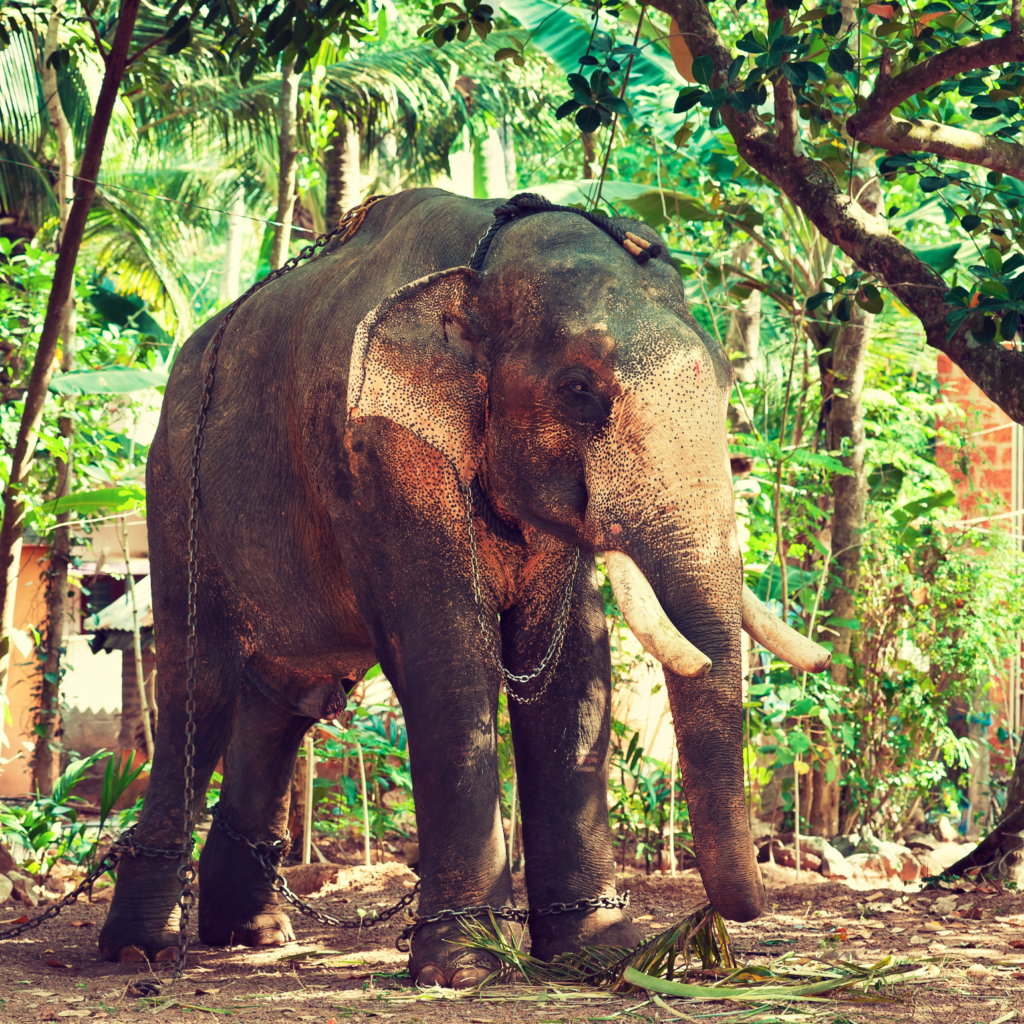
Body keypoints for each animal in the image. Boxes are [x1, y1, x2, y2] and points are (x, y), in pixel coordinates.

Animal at [97, 188, 831, 987]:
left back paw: (254, 933)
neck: (486, 256)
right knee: (196, 682)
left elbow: (573, 668)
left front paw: (600, 954)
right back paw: (139, 948)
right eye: (580, 392)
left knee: (284, 697)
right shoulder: (380, 450)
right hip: (175, 489)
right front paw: (465, 968)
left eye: (729, 384)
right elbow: (449, 653)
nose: (729, 919)